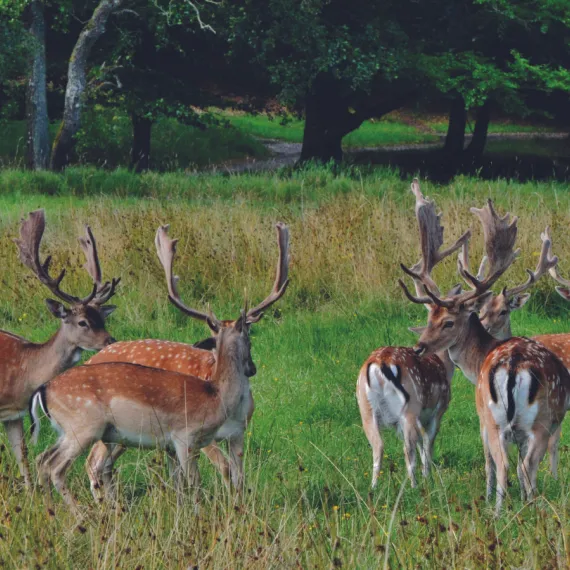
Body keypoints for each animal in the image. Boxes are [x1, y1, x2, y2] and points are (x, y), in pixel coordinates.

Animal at [0, 209, 118, 484]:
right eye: (83, 321)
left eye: (102, 318)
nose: (110, 341)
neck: (24, 371)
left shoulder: (14, 414)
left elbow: (22, 458)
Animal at [28, 298, 254, 510]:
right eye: (249, 339)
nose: (252, 367)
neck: (215, 395)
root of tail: (43, 390)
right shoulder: (184, 438)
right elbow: (195, 482)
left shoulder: (173, 445)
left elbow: (180, 484)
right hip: (83, 429)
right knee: (58, 467)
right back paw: (82, 515)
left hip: (70, 432)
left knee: (43, 459)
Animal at [80, 221, 288, 496]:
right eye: (212, 340)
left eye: (251, 334)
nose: (251, 368)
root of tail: (88, 361)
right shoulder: (195, 435)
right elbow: (222, 470)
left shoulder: (239, 432)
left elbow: (238, 477)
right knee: (93, 462)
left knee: (104, 465)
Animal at [356, 180, 470, 486]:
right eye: (450, 322)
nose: (421, 346)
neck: (443, 364)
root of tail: (378, 364)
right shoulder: (435, 410)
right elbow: (426, 446)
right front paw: (430, 477)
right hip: (409, 405)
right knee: (407, 450)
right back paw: (415, 487)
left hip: (364, 408)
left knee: (377, 448)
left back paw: (373, 489)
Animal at [400, 199, 568, 510]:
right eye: (429, 316)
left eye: (448, 322)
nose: (418, 347)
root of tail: (513, 365)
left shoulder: (482, 416)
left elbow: (490, 460)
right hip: (530, 421)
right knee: (519, 465)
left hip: (506, 418)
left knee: (510, 464)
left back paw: (505, 510)